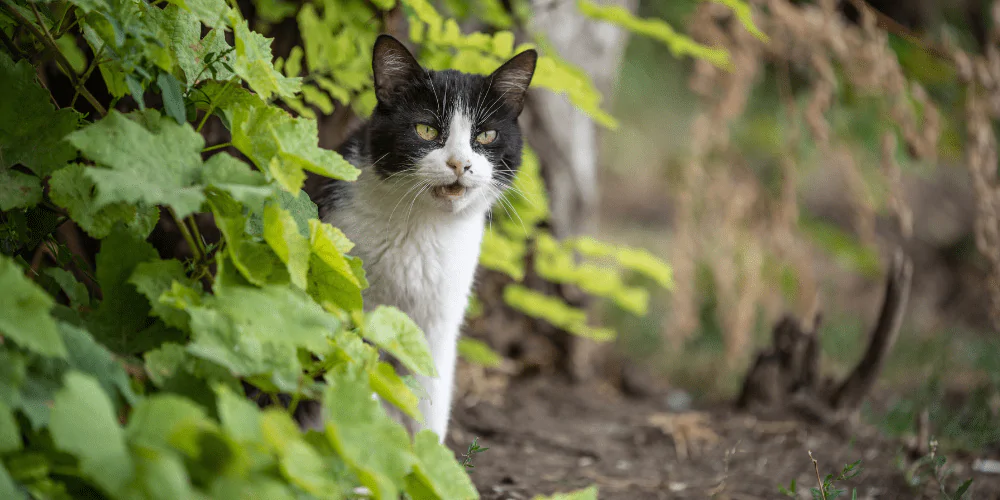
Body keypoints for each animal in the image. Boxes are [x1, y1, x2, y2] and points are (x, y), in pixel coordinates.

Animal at [318, 35, 540, 442]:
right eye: (426, 131)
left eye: (486, 135)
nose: (459, 164)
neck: (422, 227)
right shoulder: (349, 297)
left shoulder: (438, 324)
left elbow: (431, 397)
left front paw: (426, 454)